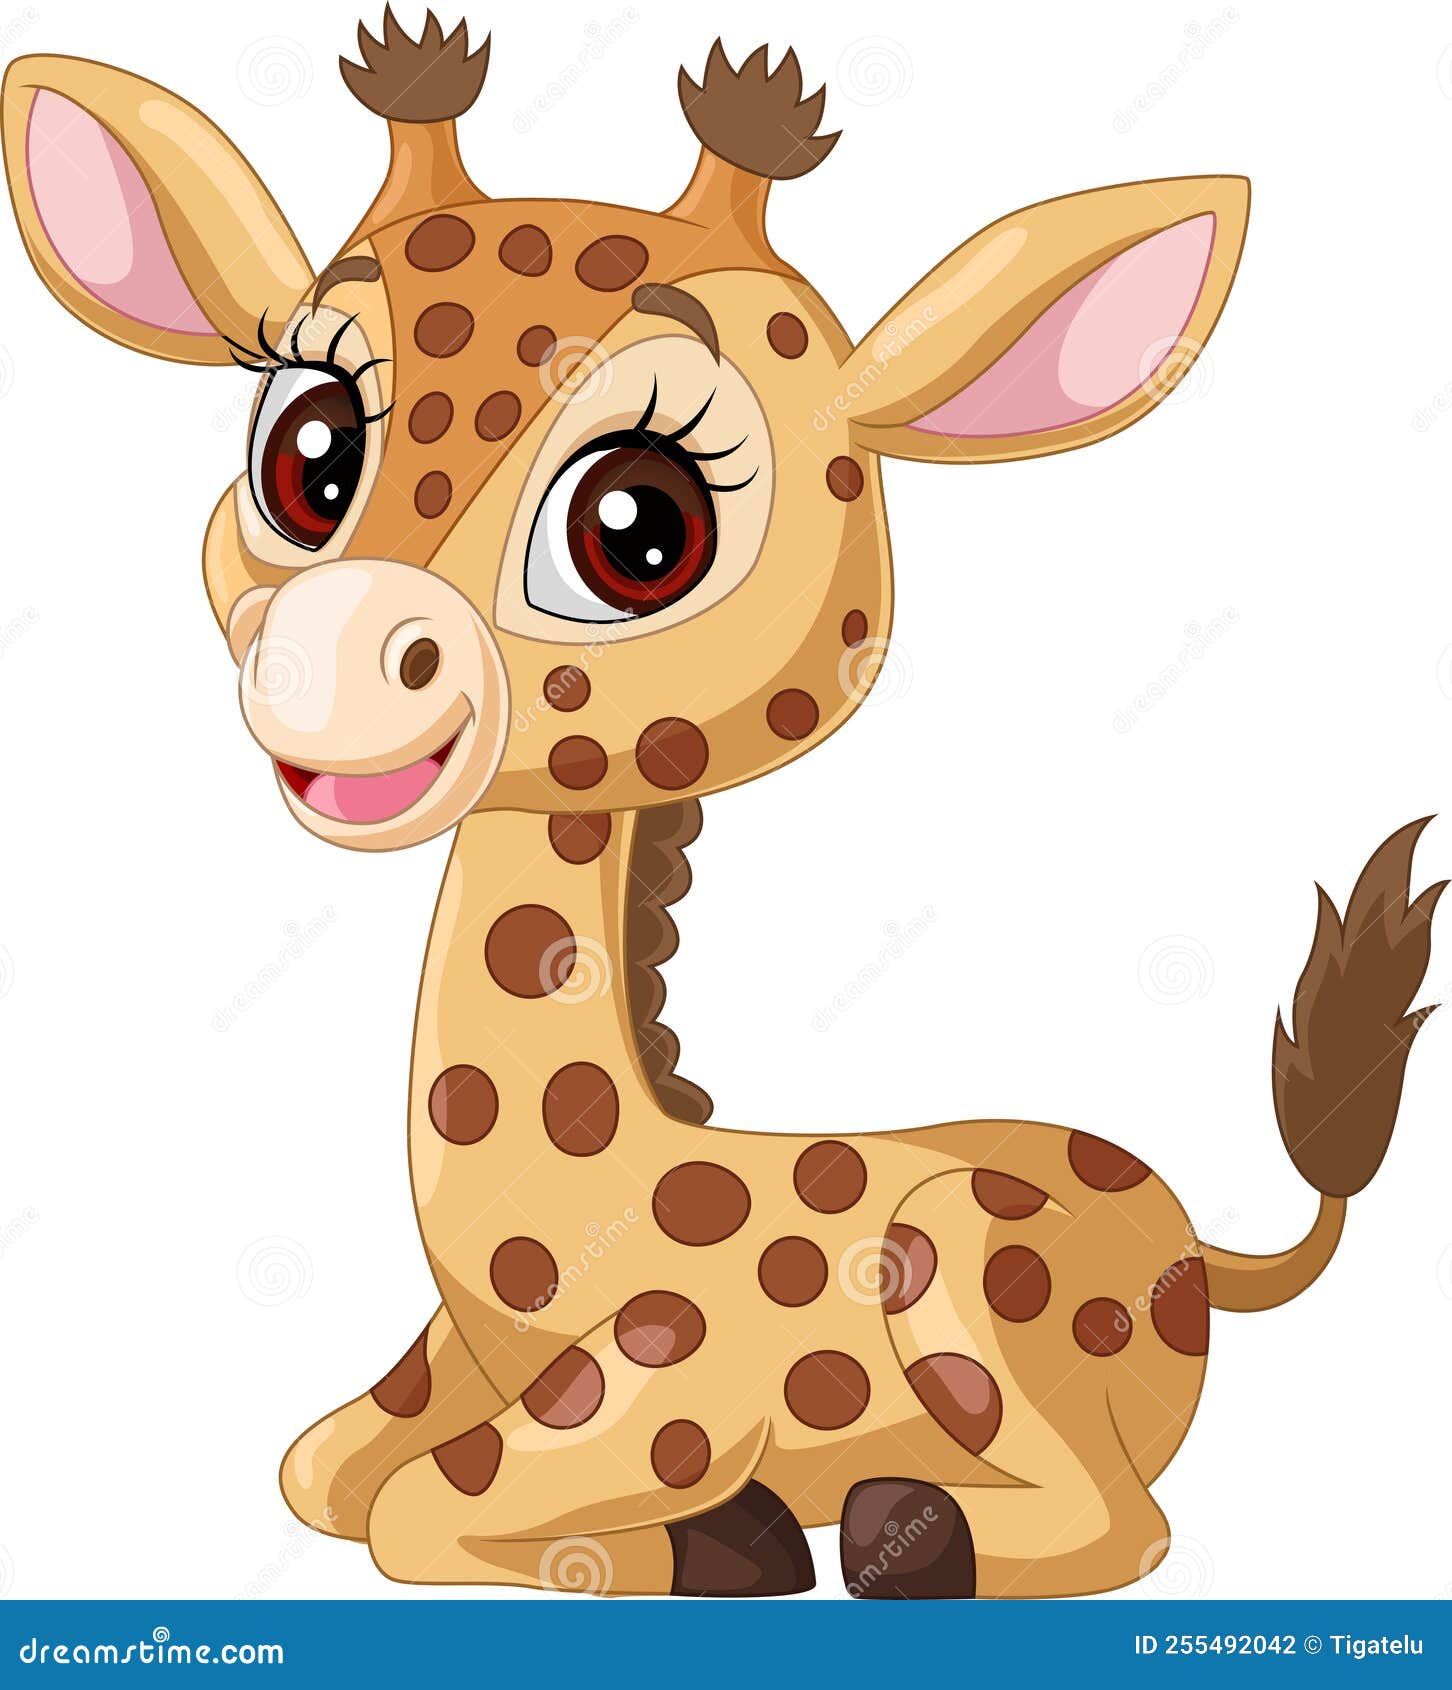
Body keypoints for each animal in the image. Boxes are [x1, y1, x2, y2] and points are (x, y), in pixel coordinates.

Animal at [4, 14, 1441, 1599]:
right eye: (308, 453)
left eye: (639, 527)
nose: (330, 662)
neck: (580, 1225)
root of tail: (1207, 1246)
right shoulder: (446, 1355)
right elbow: (321, 1467)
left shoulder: (675, 1377)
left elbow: (420, 1507)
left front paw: (698, 1541)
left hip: (959, 1269)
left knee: (1124, 1524)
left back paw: (889, 1526)